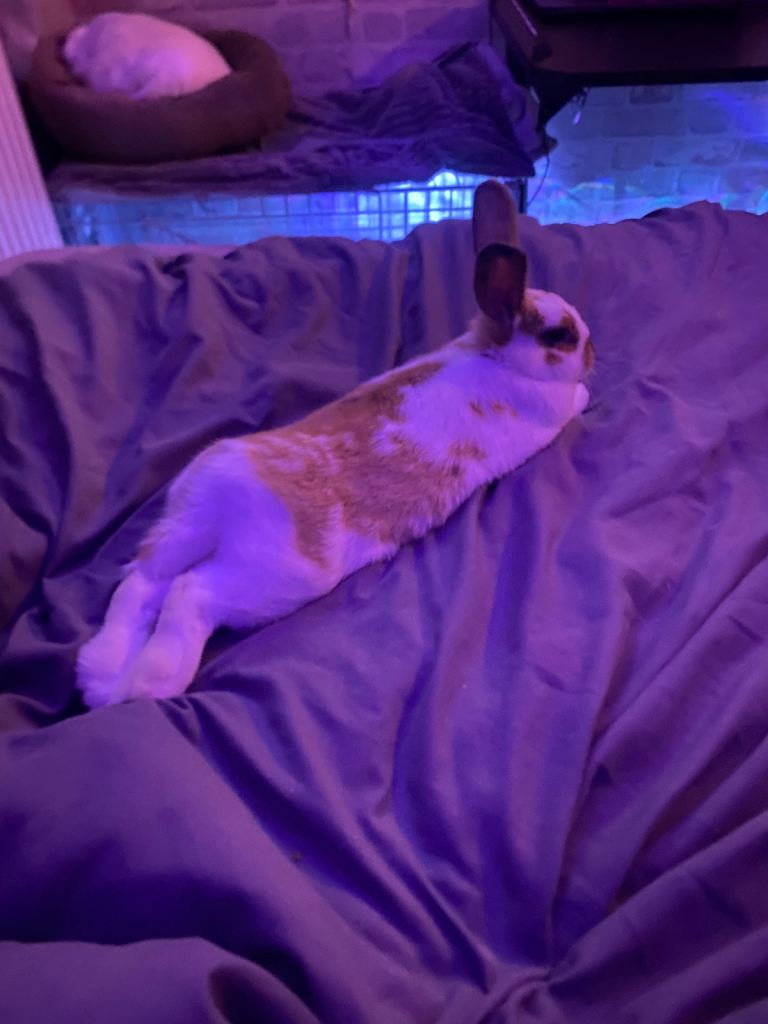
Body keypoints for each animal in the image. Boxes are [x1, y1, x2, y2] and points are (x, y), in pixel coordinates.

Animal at [77, 180, 594, 709]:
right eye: (560, 335)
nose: (593, 353)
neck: (494, 354)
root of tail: (216, 502)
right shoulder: (550, 409)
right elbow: (576, 400)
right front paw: (587, 391)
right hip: (274, 576)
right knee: (187, 593)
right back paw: (151, 683)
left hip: (178, 534)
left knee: (140, 585)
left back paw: (99, 677)